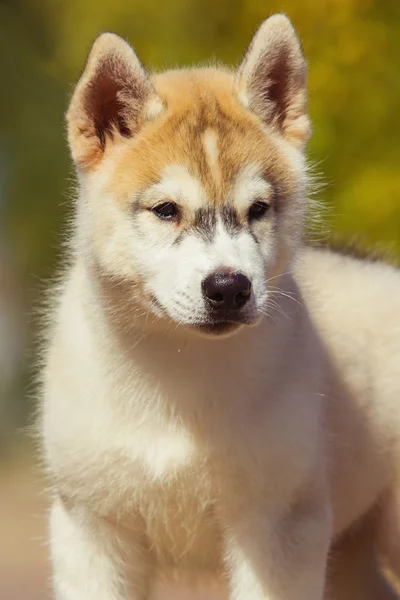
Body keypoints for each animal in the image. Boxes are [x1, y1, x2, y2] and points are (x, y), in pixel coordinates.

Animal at [39, 12, 400, 600]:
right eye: (166, 210)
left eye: (258, 209)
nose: (229, 288)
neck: (178, 374)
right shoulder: (92, 526)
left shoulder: (279, 525)